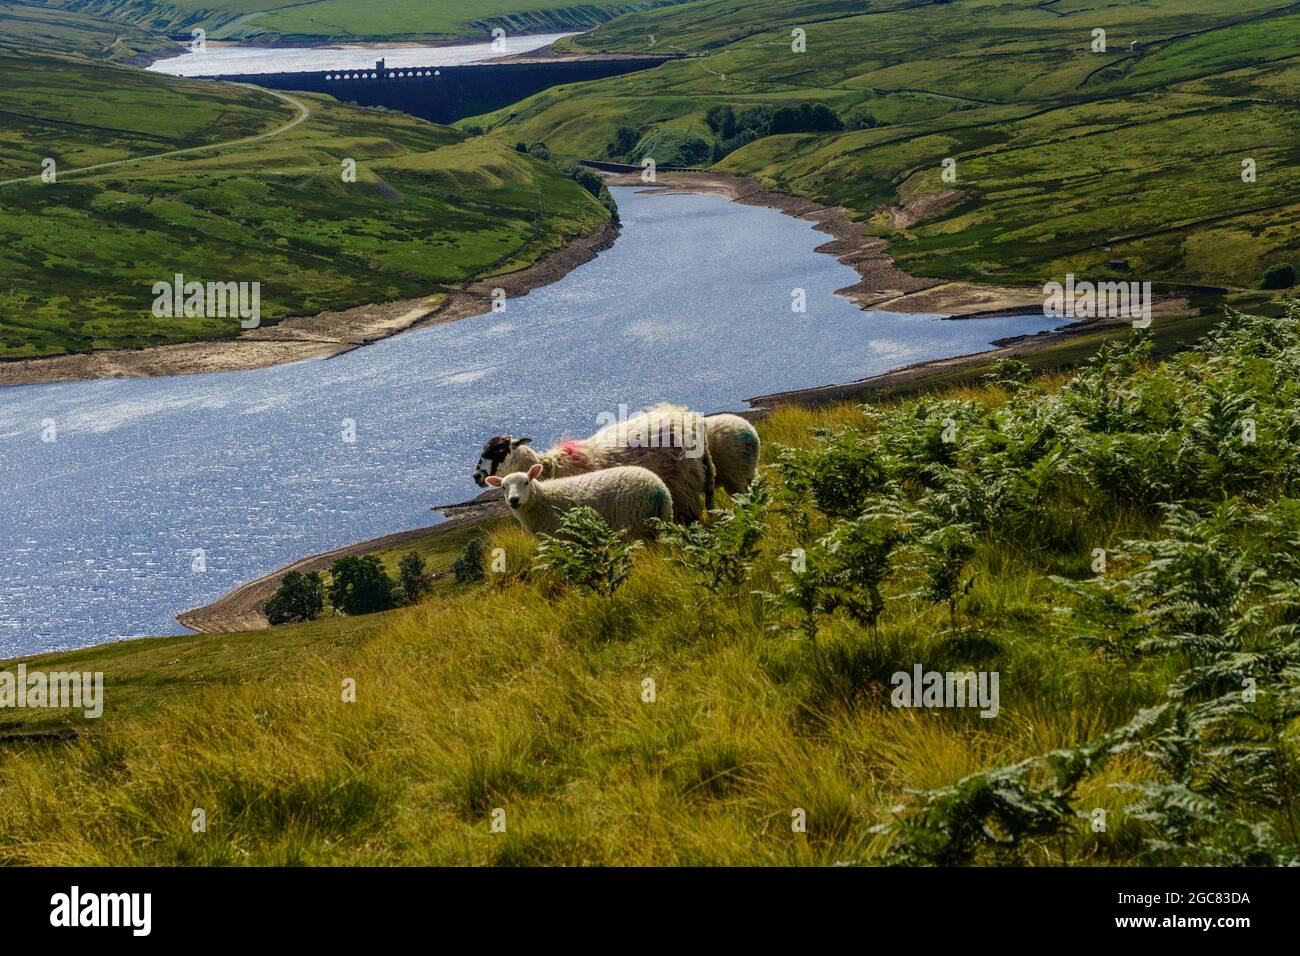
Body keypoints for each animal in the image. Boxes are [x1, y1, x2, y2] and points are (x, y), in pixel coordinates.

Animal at [486, 465, 670, 541]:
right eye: (503, 487)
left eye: (526, 482)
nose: (514, 500)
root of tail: (657, 489)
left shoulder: (563, 538)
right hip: (660, 519)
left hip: (631, 523)